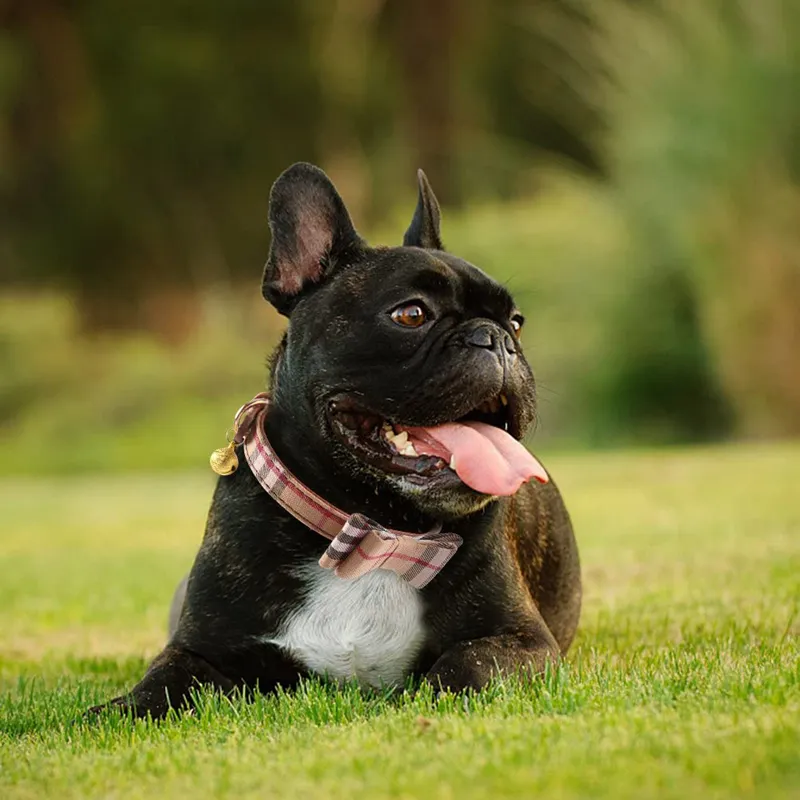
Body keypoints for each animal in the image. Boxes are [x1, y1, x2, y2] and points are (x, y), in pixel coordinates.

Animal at [89, 162, 580, 720]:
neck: (370, 531)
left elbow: (468, 665)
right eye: (411, 314)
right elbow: (165, 681)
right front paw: (114, 710)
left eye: (516, 322)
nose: (495, 338)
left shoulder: (521, 640)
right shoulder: (201, 647)